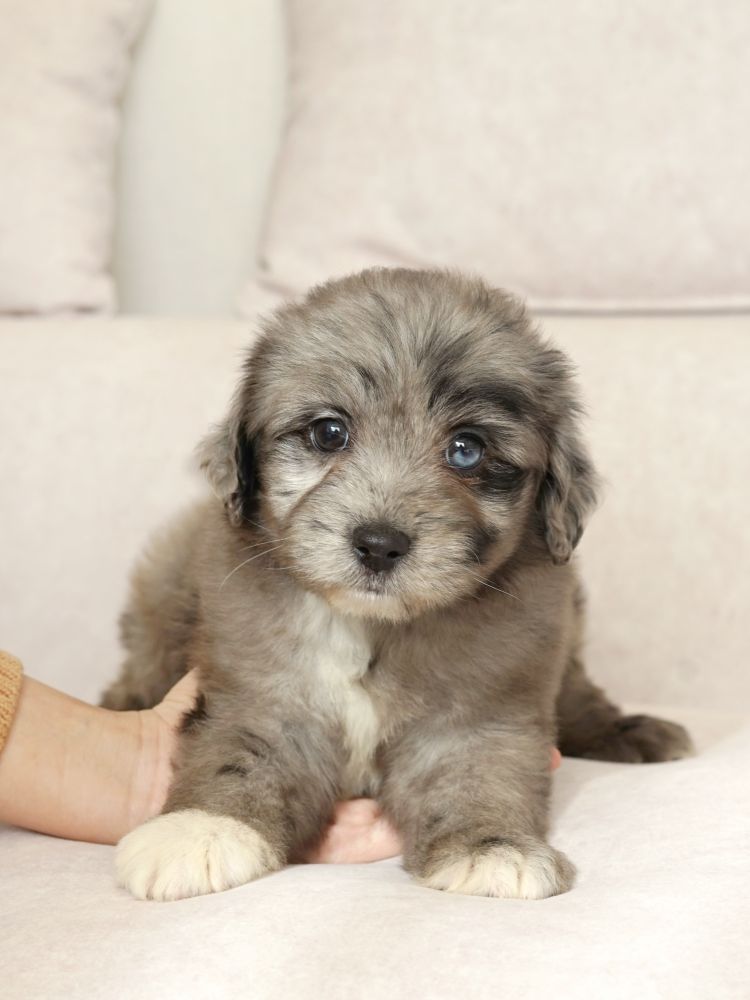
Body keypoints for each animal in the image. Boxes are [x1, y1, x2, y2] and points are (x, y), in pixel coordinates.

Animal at [103, 267, 693, 901]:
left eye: (467, 450)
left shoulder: (481, 705)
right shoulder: (263, 693)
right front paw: (201, 828)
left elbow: (477, 774)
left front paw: (492, 847)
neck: (371, 624)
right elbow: (237, 752)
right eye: (329, 432)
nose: (378, 544)